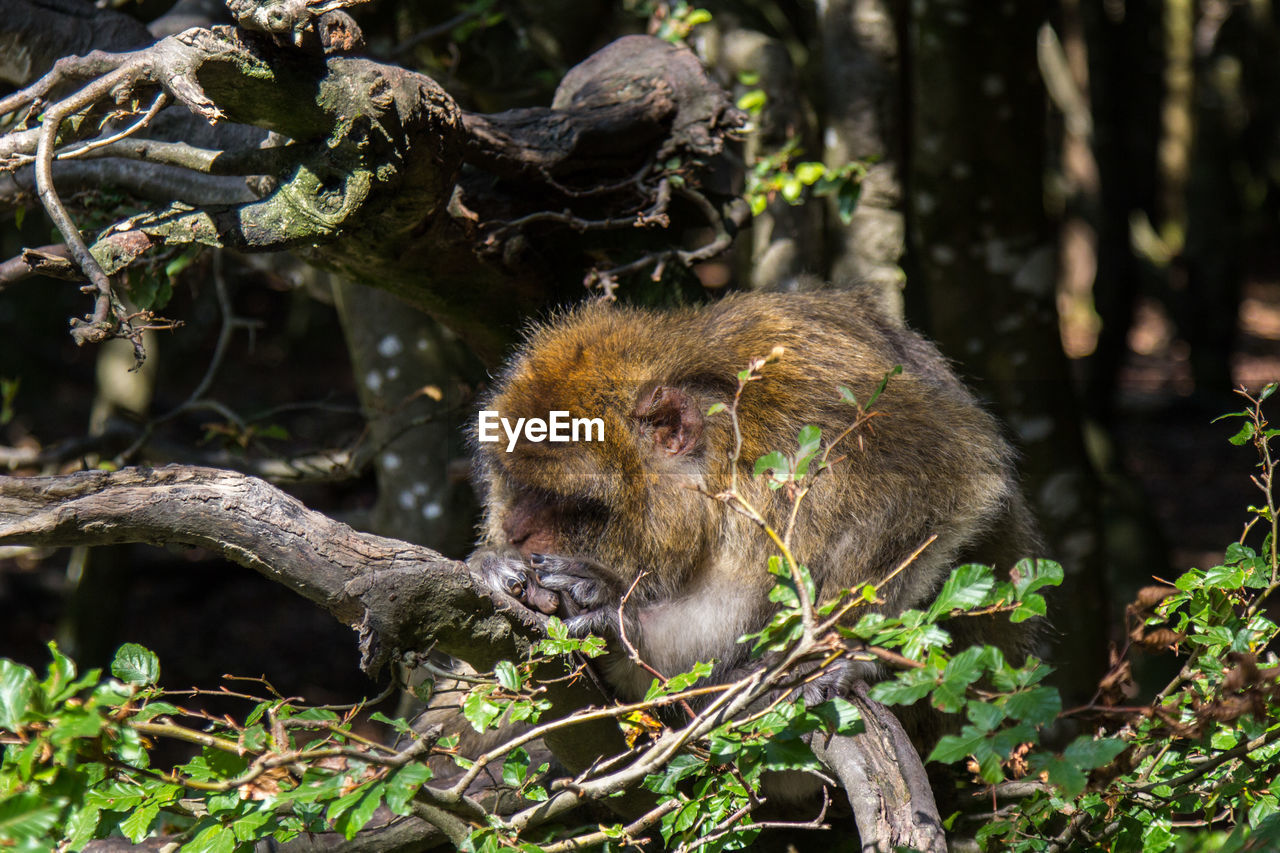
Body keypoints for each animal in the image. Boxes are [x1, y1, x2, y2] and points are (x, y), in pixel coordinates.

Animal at [469, 286, 1042, 722]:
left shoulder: (816, 424)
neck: (724, 453)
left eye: (566, 502)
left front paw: (619, 620)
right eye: (517, 484)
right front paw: (494, 565)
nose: (516, 530)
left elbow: (951, 482)